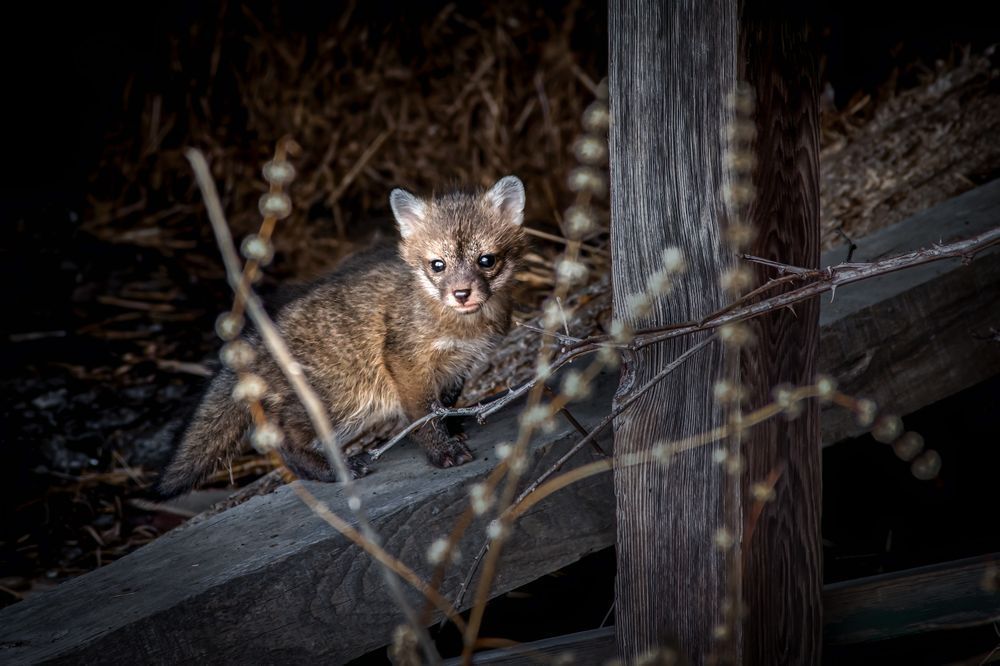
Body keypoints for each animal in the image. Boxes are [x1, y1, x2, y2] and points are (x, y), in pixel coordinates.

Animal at [158, 176, 527, 496]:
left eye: (486, 260)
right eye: (438, 265)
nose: (462, 294)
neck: (462, 325)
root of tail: (257, 337)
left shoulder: (457, 367)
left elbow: (444, 408)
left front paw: (453, 433)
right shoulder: (406, 362)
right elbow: (424, 417)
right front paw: (442, 451)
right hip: (342, 403)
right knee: (283, 440)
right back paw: (332, 470)